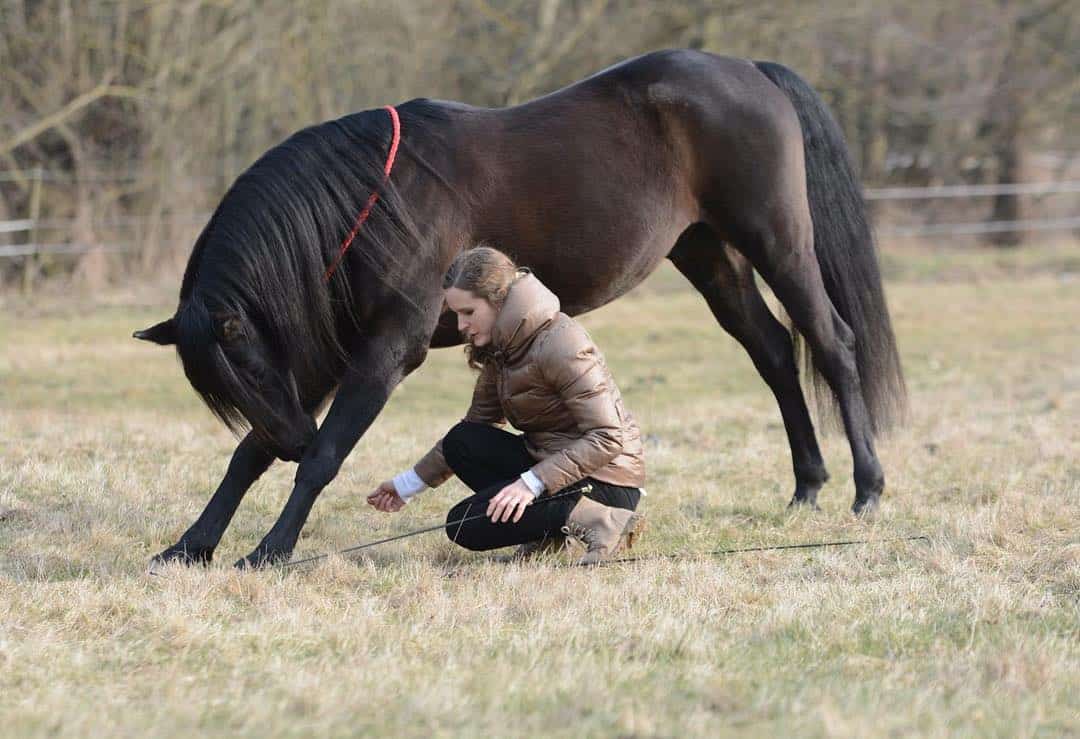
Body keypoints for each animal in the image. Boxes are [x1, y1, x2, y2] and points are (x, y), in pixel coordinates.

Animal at [135, 49, 906, 569]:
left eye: (247, 370)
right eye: (223, 386)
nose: (291, 434)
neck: (374, 203)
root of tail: (751, 69)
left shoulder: (384, 351)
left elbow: (325, 454)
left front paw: (268, 549)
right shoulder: (327, 358)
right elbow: (248, 455)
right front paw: (190, 545)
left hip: (776, 240)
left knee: (832, 343)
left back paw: (866, 490)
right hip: (708, 253)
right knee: (773, 352)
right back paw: (806, 486)